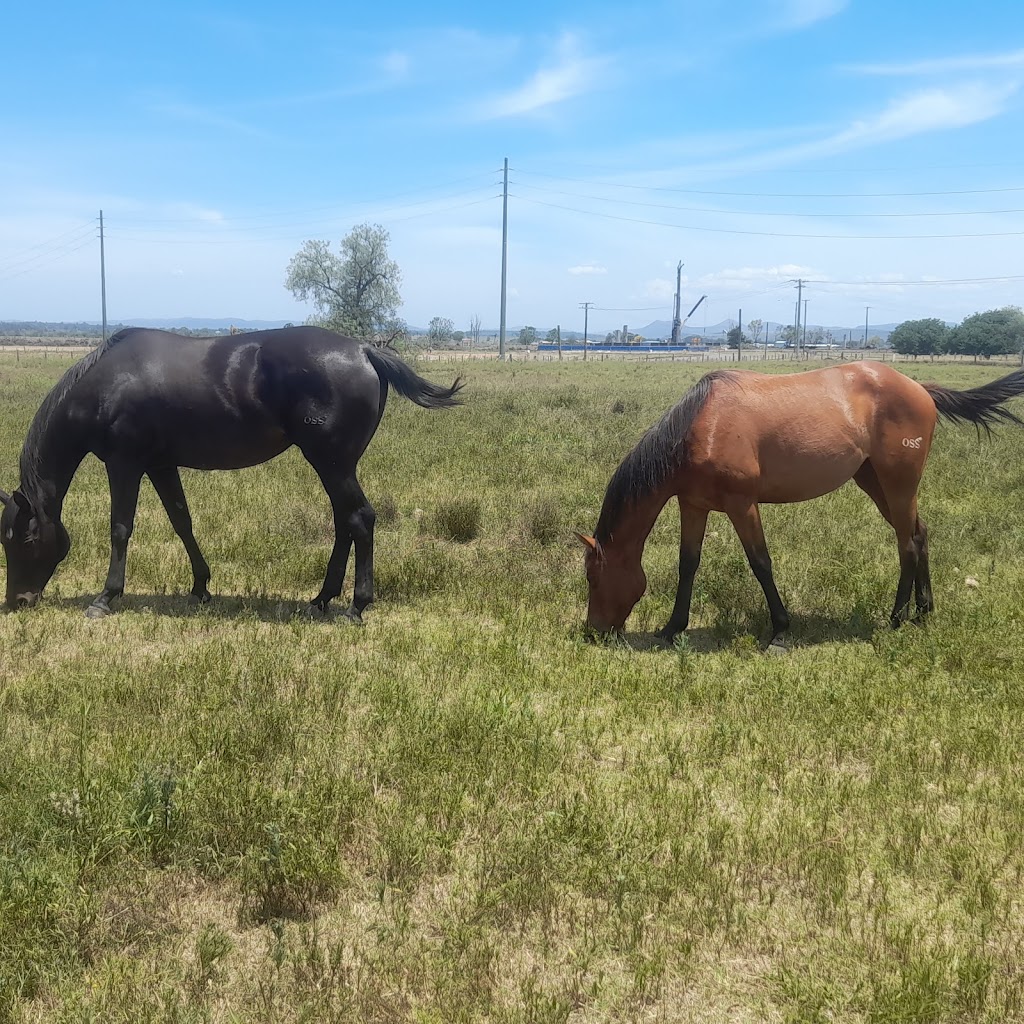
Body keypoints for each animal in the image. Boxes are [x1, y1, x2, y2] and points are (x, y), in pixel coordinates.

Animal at [0, 326, 462, 618]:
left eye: (25, 539)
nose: (17, 601)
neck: (107, 384)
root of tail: (365, 350)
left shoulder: (124, 464)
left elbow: (120, 528)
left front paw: (106, 597)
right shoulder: (160, 465)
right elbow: (182, 522)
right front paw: (200, 588)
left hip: (332, 463)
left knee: (360, 519)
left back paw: (355, 605)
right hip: (335, 466)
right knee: (344, 522)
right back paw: (321, 599)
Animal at [577, 361, 1024, 646]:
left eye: (593, 578)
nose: (592, 632)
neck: (699, 427)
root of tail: (921, 389)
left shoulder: (742, 505)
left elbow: (760, 562)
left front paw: (779, 629)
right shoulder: (694, 505)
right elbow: (688, 564)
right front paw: (672, 629)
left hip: (898, 483)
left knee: (908, 543)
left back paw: (897, 618)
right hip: (875, 482)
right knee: (919, 534)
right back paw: (923, 612)